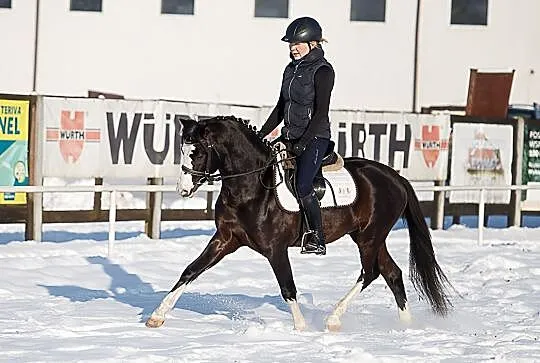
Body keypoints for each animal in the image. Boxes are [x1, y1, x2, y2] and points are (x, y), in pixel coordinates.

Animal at [146, 115, 454, 332]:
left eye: (197, 152)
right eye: (183, 149)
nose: (183, 190)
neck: (251, 187)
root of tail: (396, 177)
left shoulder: (275, 249)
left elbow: (288, 287)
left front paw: (301, 328)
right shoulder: (225, 239)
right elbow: (190, 271)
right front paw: (157, 316)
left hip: (370, 237)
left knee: (371, 273)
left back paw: (333, 320)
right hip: (369, 237)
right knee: (392, 273)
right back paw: (406, 327)